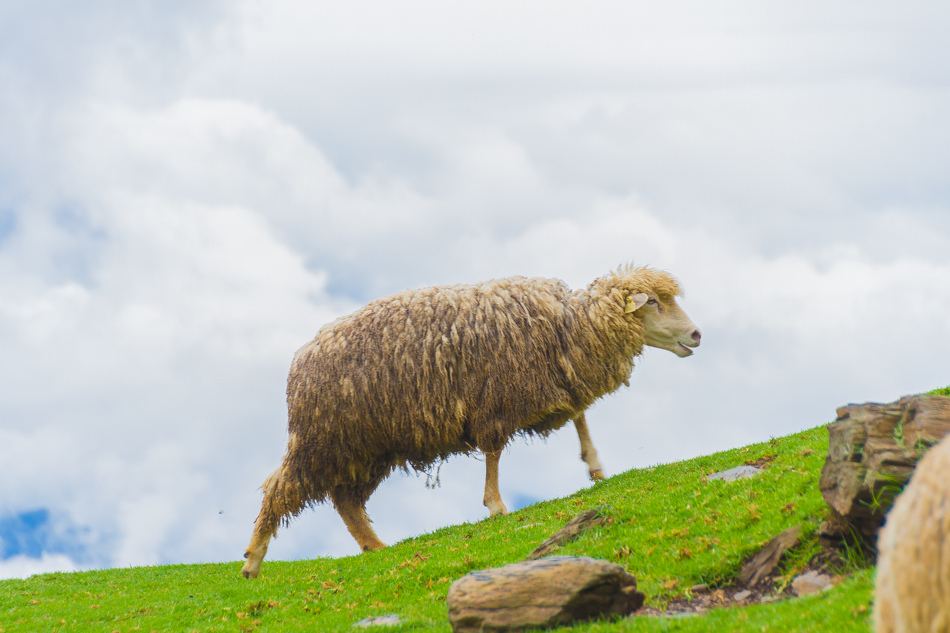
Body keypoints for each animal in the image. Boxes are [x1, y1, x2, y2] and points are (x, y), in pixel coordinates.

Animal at [240, 266, 700, 576]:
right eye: (653, 301)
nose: (696, 334)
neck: (570, 327)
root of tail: (301, 359)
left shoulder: (552, 379)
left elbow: (579, 416)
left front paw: (595, 466)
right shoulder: (494, 399)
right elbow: (494, 452)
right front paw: (495, 505)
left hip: (366, 447)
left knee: (345, 500)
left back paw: (374, 545)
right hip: (324, 439)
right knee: (282, 488)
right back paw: (254, 559)